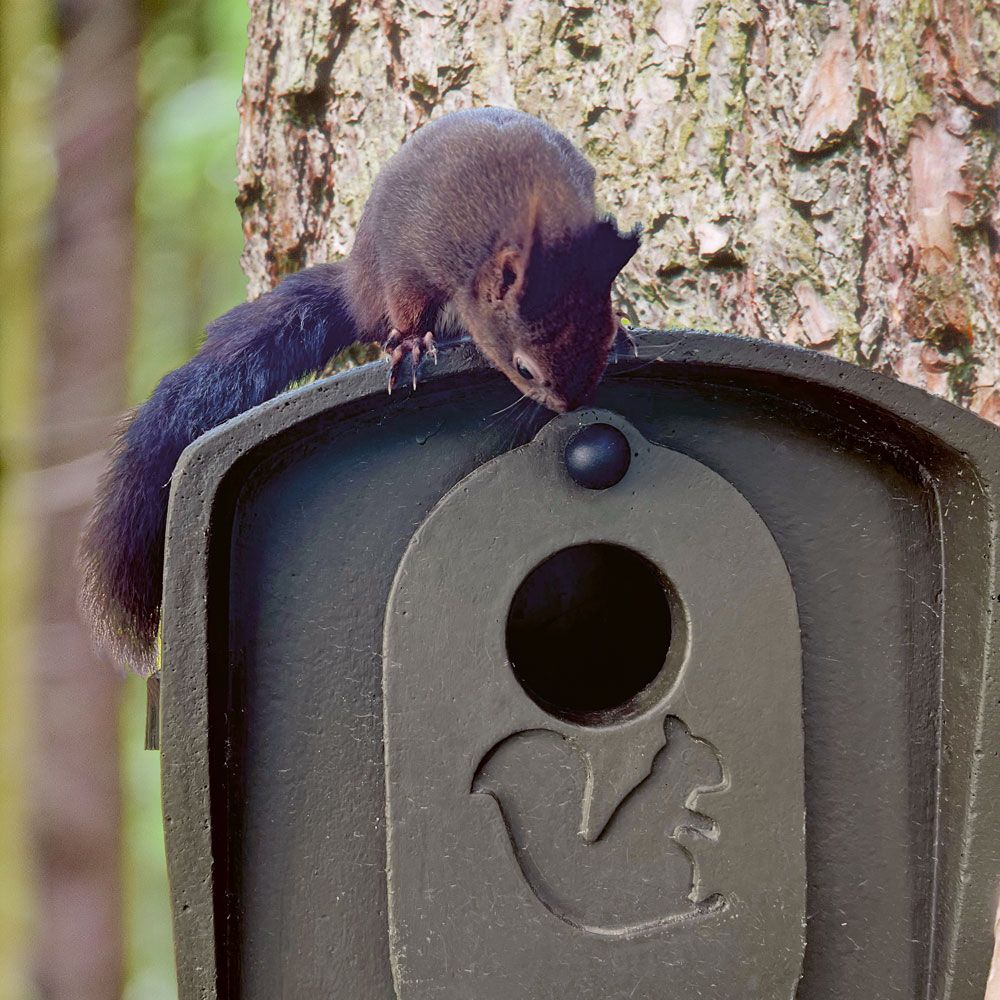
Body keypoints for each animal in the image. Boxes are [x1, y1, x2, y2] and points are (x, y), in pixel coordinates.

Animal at [79, 106, 642, 675]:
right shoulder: (418, 251)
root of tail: (353, 288)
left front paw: (626, 334)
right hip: (382, 279)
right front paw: (412, 344)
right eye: (524, 369)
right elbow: (411, 302)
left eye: (601, 335)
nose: (571, 405)